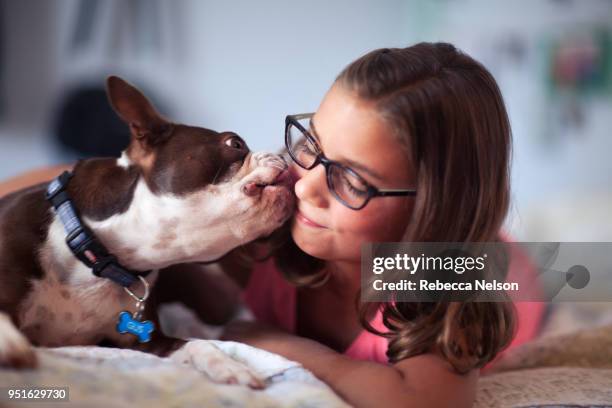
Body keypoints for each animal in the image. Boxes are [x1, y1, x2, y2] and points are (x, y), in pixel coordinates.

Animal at [0, 75, 296, 386]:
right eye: (235, 143)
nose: (283, 156)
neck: (100, 256)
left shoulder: (148, 343)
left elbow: (197, 344)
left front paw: (230, 367)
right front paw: (9, 342)